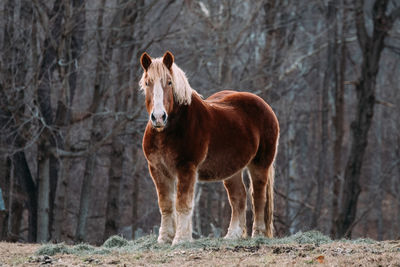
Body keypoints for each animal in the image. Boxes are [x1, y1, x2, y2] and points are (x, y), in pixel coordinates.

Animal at [139, 51, 280, 246]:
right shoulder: (157, 170)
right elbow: (166, 204)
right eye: (147, 82)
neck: (167, 131)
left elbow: (182, 203)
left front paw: (180, 239)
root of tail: (265, 106)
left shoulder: (186, 168)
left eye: (169, 82)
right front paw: (164, 239)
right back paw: (232, 235)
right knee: (239, 197)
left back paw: (257, 234)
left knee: (258, 197)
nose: (159, 117)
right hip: (232, 169)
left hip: (260, 164)